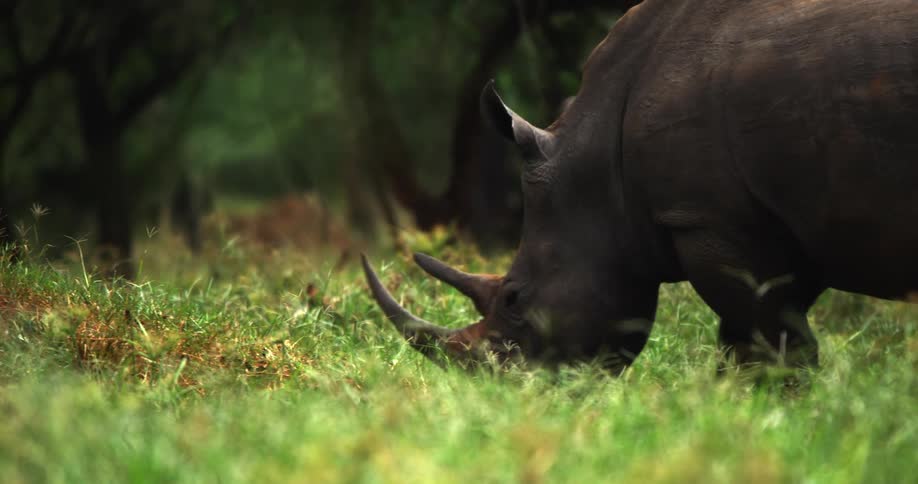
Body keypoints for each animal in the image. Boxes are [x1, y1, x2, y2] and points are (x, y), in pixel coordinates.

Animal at [362, 0, 918, 371]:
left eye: (515, 300)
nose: (500, 389)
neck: (600, 166)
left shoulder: (712, 220)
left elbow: (766, 346)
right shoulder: (782, 225)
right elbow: (756, 338)